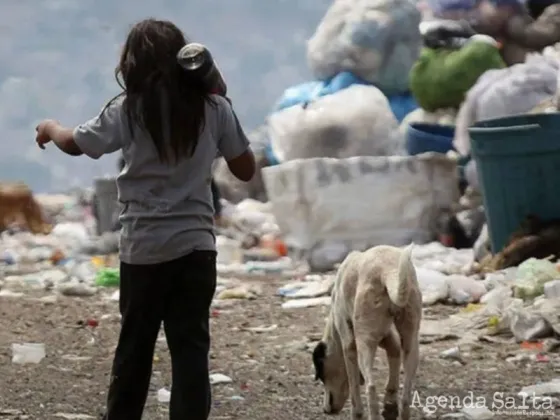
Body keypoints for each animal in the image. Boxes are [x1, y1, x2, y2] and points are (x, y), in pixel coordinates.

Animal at [310, 244, 420, 418]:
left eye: (321, 375)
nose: (325, 410)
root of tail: (387, 270)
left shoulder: (349, 346)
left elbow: (354, 384)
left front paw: (357, 413)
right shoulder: (389, 338)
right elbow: (394, 354)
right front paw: (390, 403)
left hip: (364, 344)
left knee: (371, 386)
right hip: (411, 342)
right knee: (406, 394)